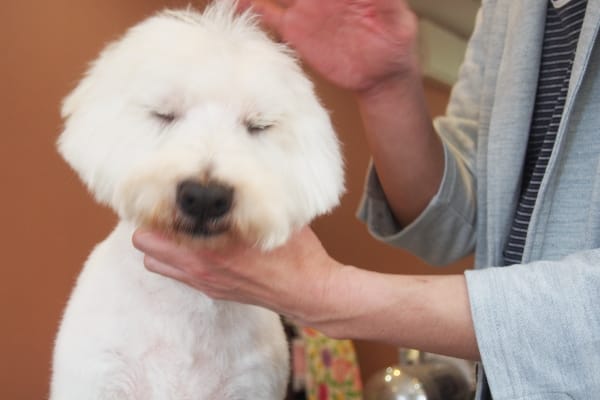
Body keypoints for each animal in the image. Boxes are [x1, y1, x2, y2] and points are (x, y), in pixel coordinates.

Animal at [50, 1, 346, 398]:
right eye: (163, 113)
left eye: (258, 125)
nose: (205, 197)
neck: (185, 305)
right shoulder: (98, 373)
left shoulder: (251, 383)